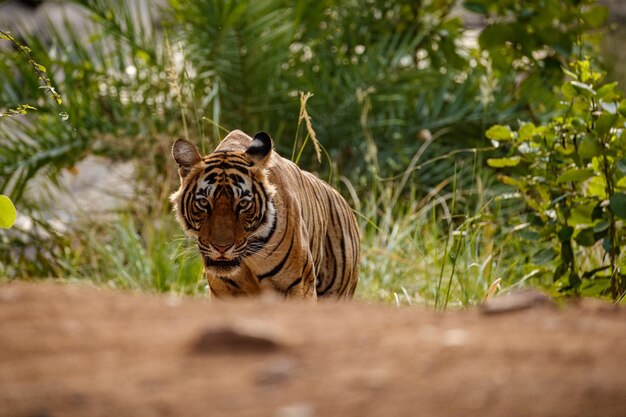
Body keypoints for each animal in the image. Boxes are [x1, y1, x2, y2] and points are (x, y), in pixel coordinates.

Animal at [168, 129, 358, 300]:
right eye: (203, 203)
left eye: (243, 204)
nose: (221, 248)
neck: (246, 259)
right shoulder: (222, 289)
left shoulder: (300, 285)